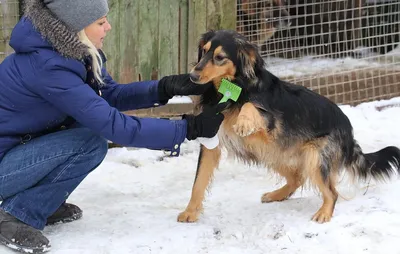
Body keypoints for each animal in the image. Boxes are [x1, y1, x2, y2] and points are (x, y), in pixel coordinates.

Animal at [178, 29, 400, 223]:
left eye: (220, 57)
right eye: (204, 50)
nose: (193, 76)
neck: (233, 89)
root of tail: (350, 134)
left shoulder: (270, 131)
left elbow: (252, 106)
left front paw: (244, 121)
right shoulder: (211, 140)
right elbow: (198, 181)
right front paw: (190, 212)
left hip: (312, 155)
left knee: (331, 192)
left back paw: (324, 213)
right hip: (273, 152)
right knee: (298, 178)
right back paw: (277, 195)